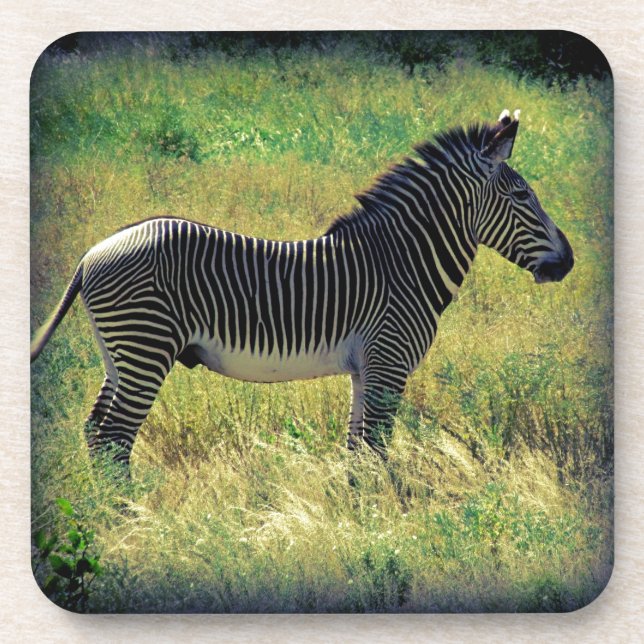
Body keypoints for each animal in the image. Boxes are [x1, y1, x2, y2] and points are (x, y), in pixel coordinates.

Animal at [31, 109, 573, 477]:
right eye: (522, 196)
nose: (568, 262)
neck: (402, 264)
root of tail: (91, 253)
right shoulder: (389, 363)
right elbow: (376, 450)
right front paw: (384, 525)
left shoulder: (365, 370)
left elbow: (357, 453)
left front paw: (356, 518)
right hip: (145, 348)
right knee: (114, 438)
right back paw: (130, 521)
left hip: (119, 354)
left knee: (96, 433)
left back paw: (109, 514)